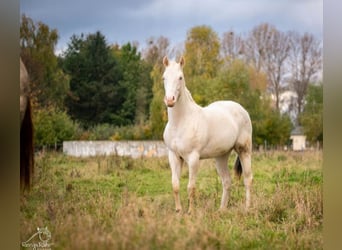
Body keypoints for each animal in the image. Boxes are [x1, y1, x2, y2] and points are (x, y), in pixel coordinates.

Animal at [162, 56, 252, 213]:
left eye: (180, 77)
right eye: (164, 77)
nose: (170, 100)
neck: (180, 123)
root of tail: (242, 109)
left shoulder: (193, 158)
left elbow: (191, 187)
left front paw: (190, 212)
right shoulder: (174, 156)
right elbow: (175, 185)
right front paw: (178, 211)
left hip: (244, 151)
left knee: (248, 179)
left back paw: (247, 209)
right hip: (221, 156)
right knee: (227, 181)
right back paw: (222, 210)